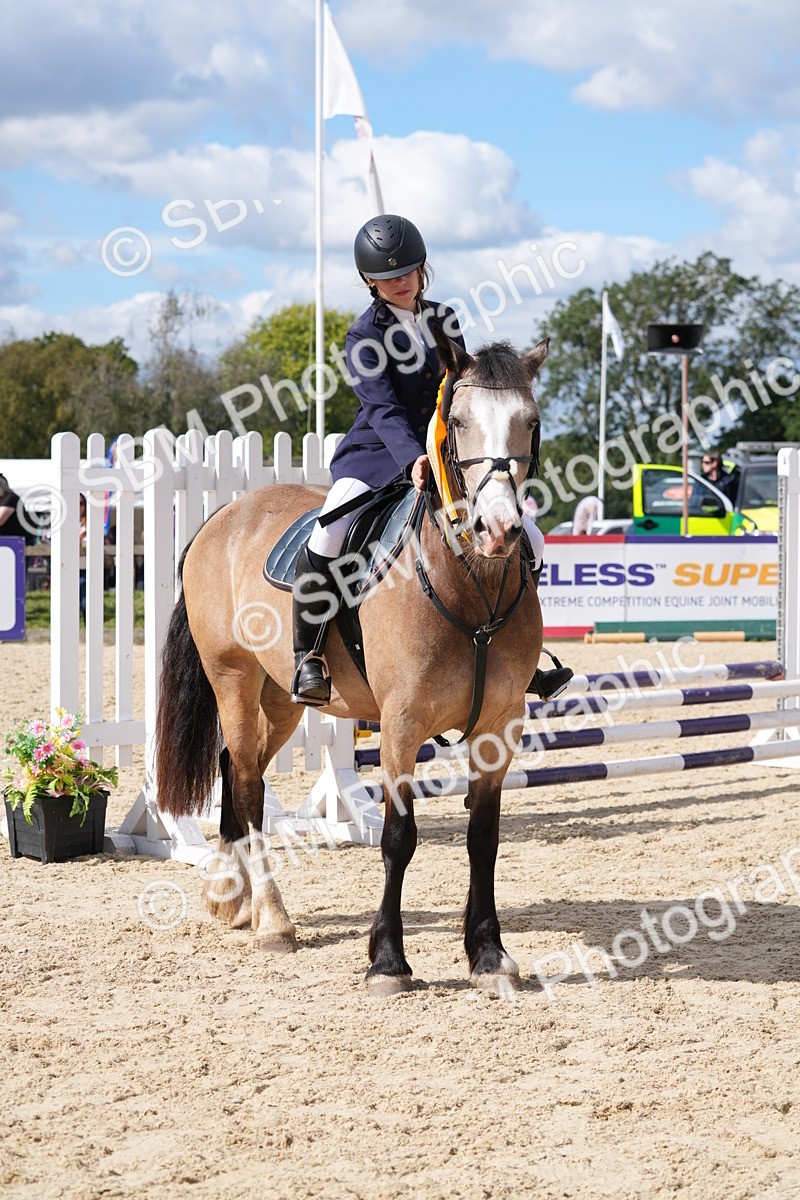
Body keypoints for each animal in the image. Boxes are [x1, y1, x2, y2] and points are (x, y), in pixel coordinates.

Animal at [155, 330, 548, 996]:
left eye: (531, 421)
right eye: (458, 421)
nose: (497, 529)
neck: (469, 583)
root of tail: (220, 518)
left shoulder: (500, 727)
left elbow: (483, 838)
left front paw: (489, 956)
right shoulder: (400, 726)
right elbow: (398, 838)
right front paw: (388, 961)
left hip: (281, 697)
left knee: (238, 768)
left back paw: (231, 897)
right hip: (233, 679)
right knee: (248, 785)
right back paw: (273, 920)